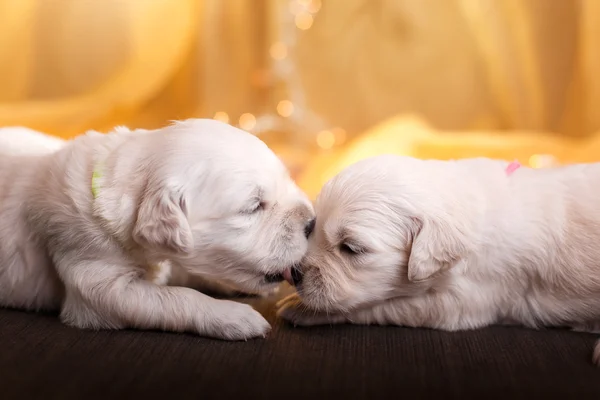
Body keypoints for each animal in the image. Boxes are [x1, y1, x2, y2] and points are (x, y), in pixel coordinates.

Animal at [278, 155, 600, 366]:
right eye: (312, 228)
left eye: (351, 248)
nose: (293, 274)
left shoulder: (466, 301)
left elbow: (377, 307)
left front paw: (301, 309)